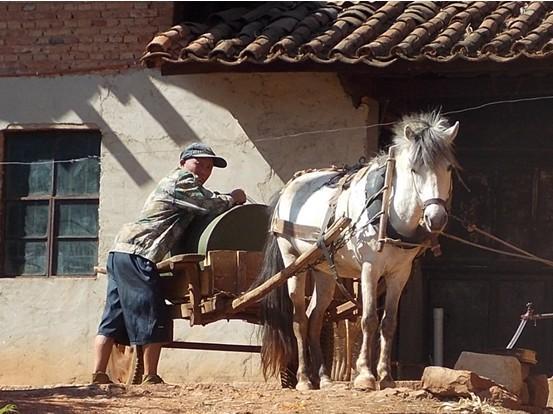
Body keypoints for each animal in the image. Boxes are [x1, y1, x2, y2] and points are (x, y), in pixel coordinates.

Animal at [254, 111, 458, 390]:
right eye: (414, 169)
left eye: (448, 168)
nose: (435, 218)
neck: (388, 212)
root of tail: (289, 187)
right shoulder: (370, 269)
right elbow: (369, 319)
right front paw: (366, 375)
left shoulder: (400, 273)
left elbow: (389, 323)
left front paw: (386, 376)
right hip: (292, 261)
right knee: (299, 320)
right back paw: (304, 378)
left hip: (323, 271)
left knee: (315, 318)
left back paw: (324, 378)